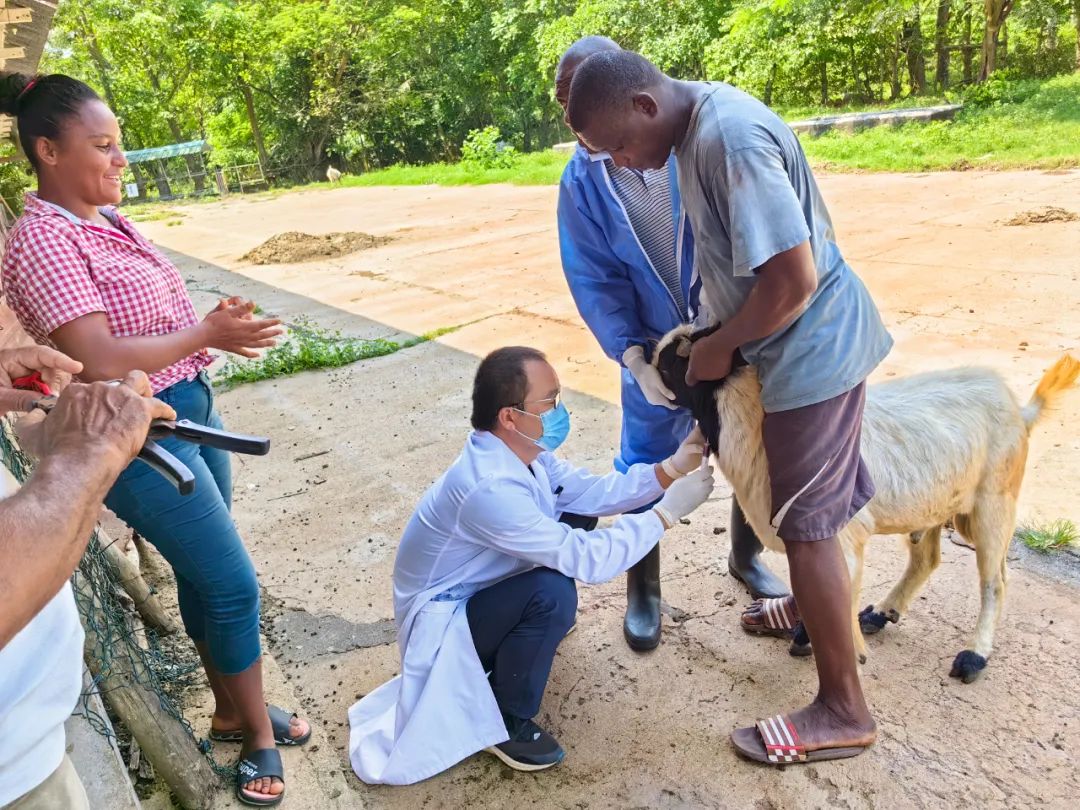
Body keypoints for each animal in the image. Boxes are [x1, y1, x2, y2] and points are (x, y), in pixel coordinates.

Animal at [652, 326, 1075, 686]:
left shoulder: (840, 536)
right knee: (927, 560)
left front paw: (840, 652)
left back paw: (973, 657)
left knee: (995, 581)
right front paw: (807, 634)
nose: (652, 350)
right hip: (936, 507)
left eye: (676, 361)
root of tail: (1021, 410)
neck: (757, 424)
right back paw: (880, 613)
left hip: (994, 501)